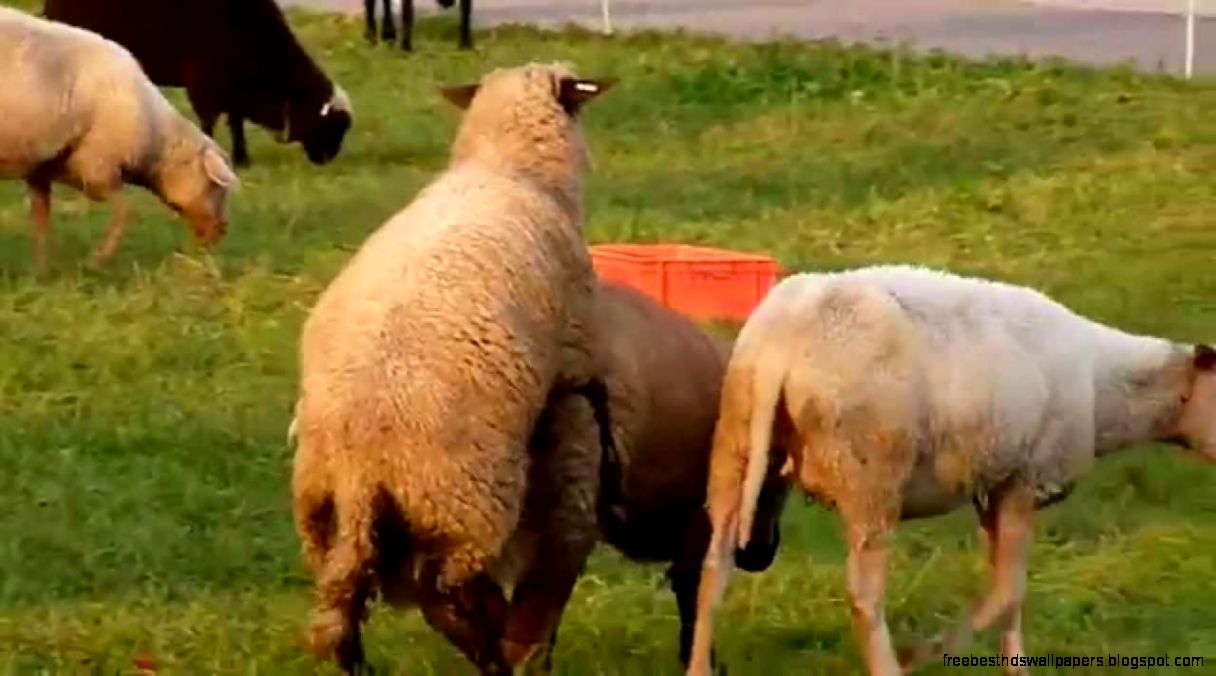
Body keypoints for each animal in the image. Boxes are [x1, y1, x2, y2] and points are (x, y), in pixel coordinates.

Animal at [0, 6, 237, 269]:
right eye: (215, 185)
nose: (220, 232)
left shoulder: (42, 167)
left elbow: (41, 220)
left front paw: (41, 269)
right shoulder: (97, 167)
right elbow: (127, 210)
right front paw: (97, 259)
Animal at [44, 0, 353, 168]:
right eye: (331, 128)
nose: (327, 159)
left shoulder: (232, 88)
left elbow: (236, 122)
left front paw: (242, 158)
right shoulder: (205, 82)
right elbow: (209, 121)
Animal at [290, 62, 615, 674]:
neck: (507, 166)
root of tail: (358, 459)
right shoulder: (575, 352)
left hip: (328, 519)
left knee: (347, 603)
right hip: (462, 501)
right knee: (445, 593)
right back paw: (493, 647)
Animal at [688, 264, 1216, 676]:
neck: (1108, 388)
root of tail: (790, 331)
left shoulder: (993, 486)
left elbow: (1009, 595)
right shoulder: (1025, 481)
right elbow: (1008, 591)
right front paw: (924, 656)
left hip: (735, 444)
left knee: (713, 569)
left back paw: (697, 667)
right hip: (872, 475)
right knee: (864, 594)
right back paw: (890, 667)